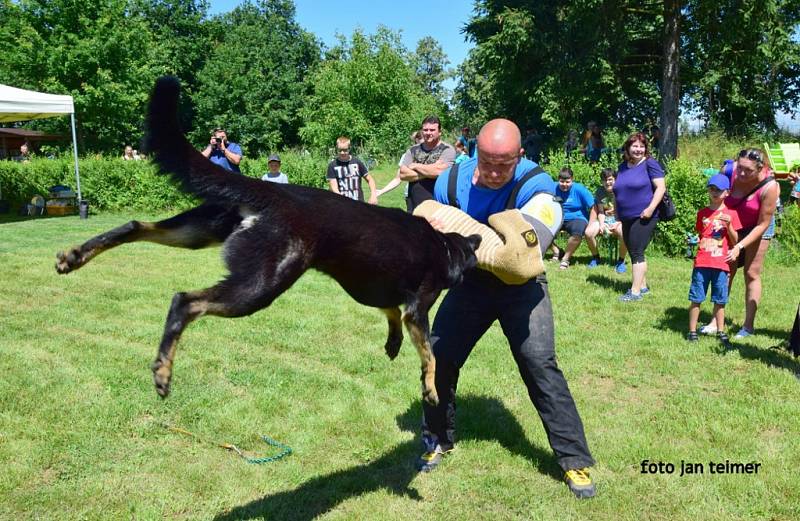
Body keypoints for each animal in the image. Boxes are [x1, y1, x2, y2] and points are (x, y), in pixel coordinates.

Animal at [59, 76, 482, 402]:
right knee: (185, 301)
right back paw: (163, 371)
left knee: (135, 226)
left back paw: (74, 256)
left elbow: (391, 314)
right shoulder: (418, 309)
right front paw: (431, 389)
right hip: (261, 284)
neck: (444, 247)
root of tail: (272, 191)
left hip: (200, 231)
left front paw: (392, 345)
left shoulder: (376, 293)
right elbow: (430, 356)